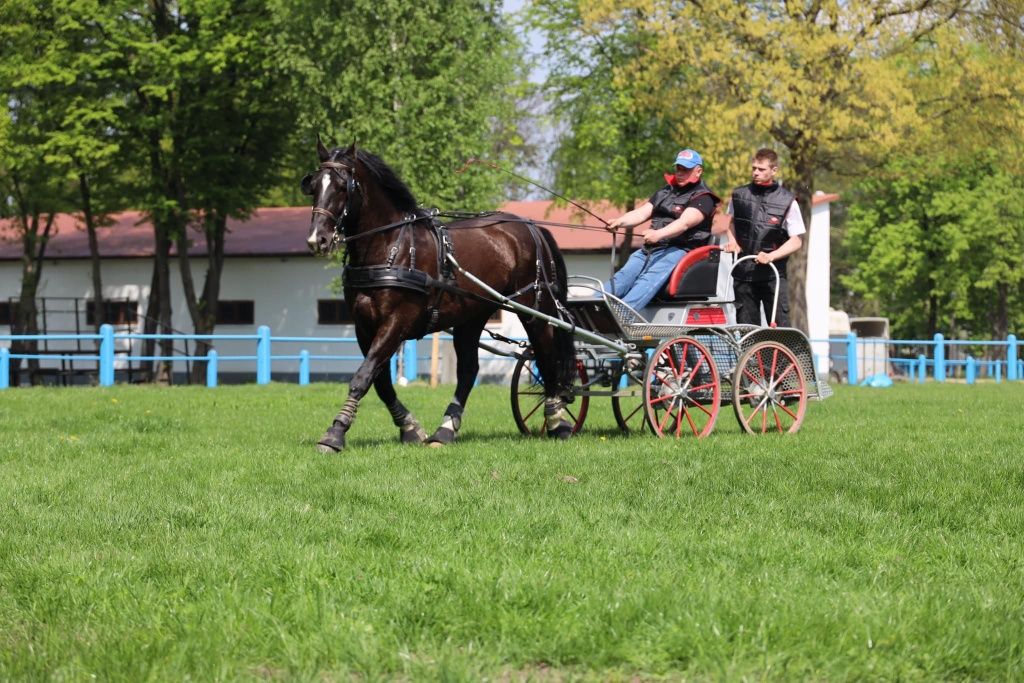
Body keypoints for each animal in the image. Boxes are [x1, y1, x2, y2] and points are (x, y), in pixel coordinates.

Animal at [301, 141, 577, 450]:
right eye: (314, 185)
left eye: (342, 187)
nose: (317, 239)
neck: (390, 247)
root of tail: (531, 227)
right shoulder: (364, 326)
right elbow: (380, 381)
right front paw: (409, 427)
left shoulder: (397, 321)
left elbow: (363, 376)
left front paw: (335, 432)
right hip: (472, 316)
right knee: (468, 370)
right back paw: (445, 429)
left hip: (533, 307)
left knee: (547, 353)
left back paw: (557, 421)